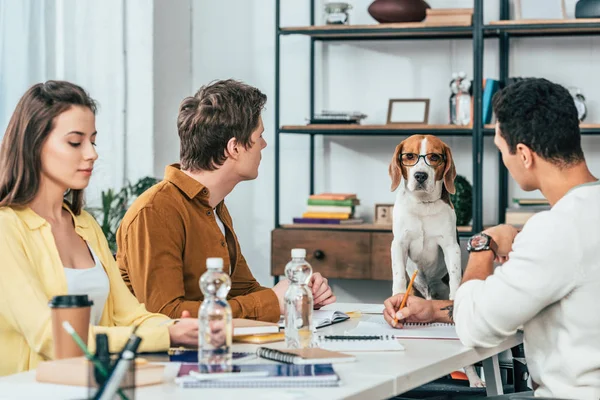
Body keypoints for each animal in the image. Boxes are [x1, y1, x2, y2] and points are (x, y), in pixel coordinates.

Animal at [392, 135, 486, 388]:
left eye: (434, 157)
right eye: (410, 156)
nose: (420, 176)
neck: (423, 205)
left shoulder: (450, 246)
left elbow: (454, 274)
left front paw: (455, 295)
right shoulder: (399, 244)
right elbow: (398, 275)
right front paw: (397, 297)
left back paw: (474, 379)